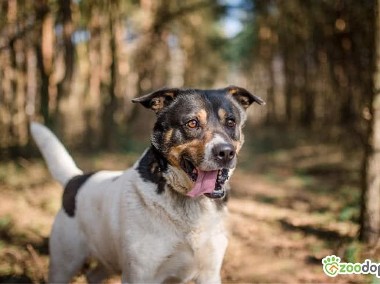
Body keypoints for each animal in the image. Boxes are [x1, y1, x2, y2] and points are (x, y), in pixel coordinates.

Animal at [30, 85, 264, 282]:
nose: (225, 152)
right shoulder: (140, 274)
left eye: (231, 122)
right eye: (192, 123)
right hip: (64, 262)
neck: (189, 206)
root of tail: (76, 179)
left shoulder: (209, 272)